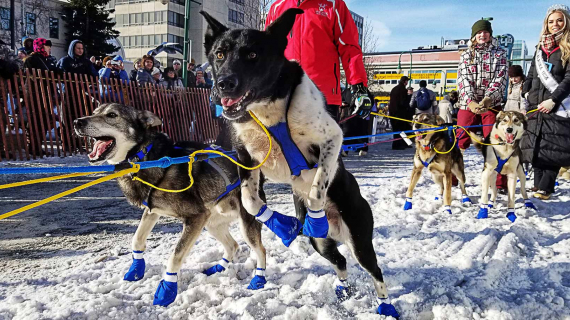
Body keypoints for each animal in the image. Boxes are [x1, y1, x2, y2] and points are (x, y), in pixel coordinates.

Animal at [74, 104, 268, 308]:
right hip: (211, 224)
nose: (77, 122)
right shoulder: (152, 211)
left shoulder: (195, 217)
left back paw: (259, 279)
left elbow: (176, 255)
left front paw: (167, 288)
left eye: (112, 115)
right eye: (94, 111)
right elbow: (137, 239)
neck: (145, 157)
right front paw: (136, 268)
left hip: (243, 222)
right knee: (233, 245)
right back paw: (217, 268)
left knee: (260, 250)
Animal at [200, 9, 400, 318]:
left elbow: (317, 188)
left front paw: (314, 217)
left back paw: (385, 304)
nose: (223, 84)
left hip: (359, 239)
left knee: (373, 269)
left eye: (253, 54)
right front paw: (281, 224)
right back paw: (343, 288)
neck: (269, 112)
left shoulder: (333, 139)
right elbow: (251, 202)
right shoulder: (247, 161)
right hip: (321, 245)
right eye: (220, 53)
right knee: (340, 260)